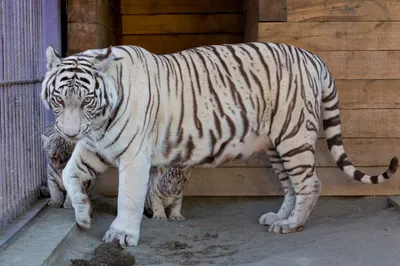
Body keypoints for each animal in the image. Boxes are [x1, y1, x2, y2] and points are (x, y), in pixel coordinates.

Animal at [42, 42, 398, 247]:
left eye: (86, 101)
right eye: (59, 99)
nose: (70, 132)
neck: (99, 120)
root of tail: (314, 58)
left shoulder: (133, 154)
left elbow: (128, 197)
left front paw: (122, 234)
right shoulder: (95, 145)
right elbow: (70, 174)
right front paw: (82, 214)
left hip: (293, 135)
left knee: (310, 183)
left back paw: (292, 225)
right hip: (277, 145)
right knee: (291, 187)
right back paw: (278, 218)